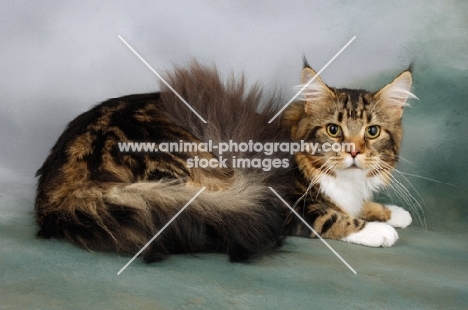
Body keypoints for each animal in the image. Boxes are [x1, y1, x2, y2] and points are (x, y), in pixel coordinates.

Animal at [35, 60, 414, 262]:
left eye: (372, 132)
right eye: (334, 130)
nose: (353, 151)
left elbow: (359, 205)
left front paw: (392, 213)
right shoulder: (291, 202)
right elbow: (335, 218)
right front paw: (377, 230)